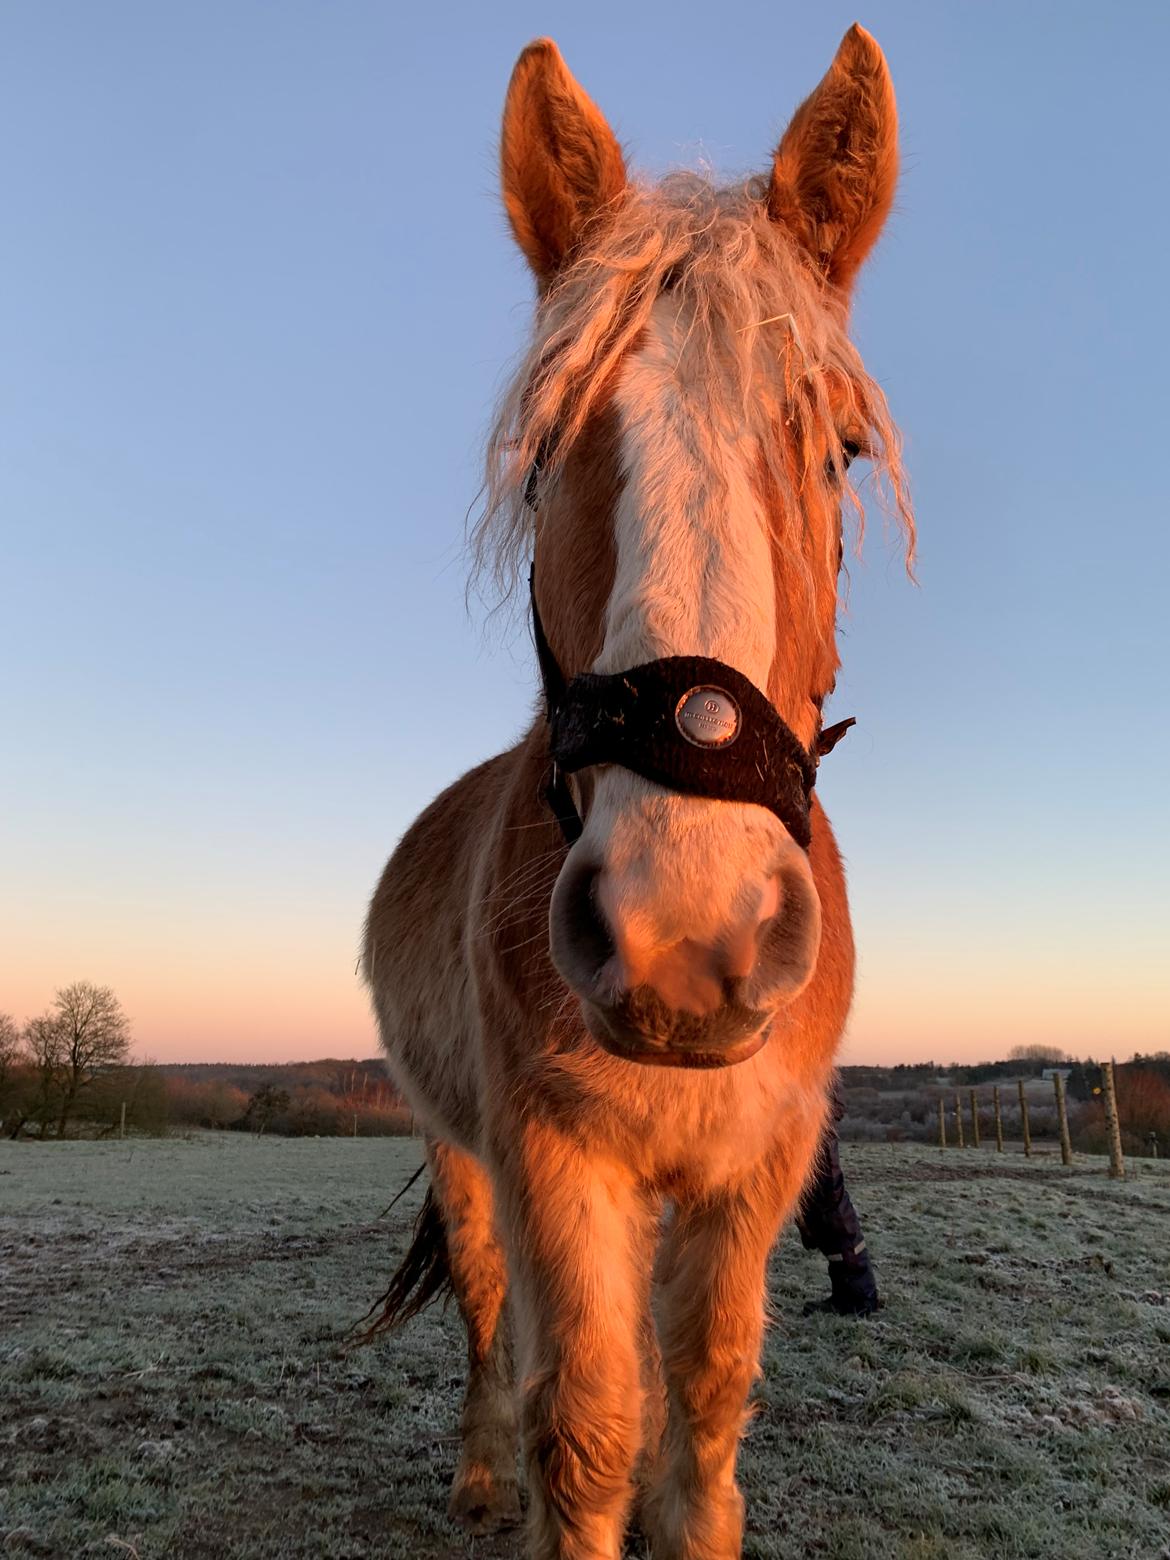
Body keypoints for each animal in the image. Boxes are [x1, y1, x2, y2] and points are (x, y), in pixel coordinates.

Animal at [366, 27, 917, 1560]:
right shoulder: (555, 1164)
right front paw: (531, 1475)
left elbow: (706, 1413)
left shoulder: (750, 1177)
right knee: (489, 1312)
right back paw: (478, 1474)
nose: (687, 938)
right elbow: (590, 1425)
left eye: (837, 448)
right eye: (550, 450)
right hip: (459, 1150)